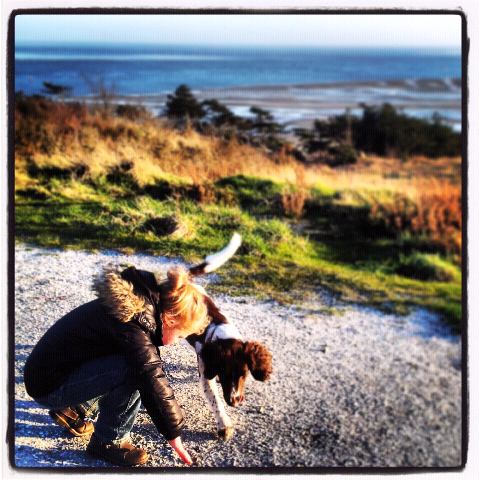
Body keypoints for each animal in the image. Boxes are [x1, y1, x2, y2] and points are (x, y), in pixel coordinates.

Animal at [185, 233, 273, 440]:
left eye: (244, 374)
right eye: (224, 374)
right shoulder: (206, 372)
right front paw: (224, 425)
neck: (224, 336)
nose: (235, 401)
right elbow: (216, 401)